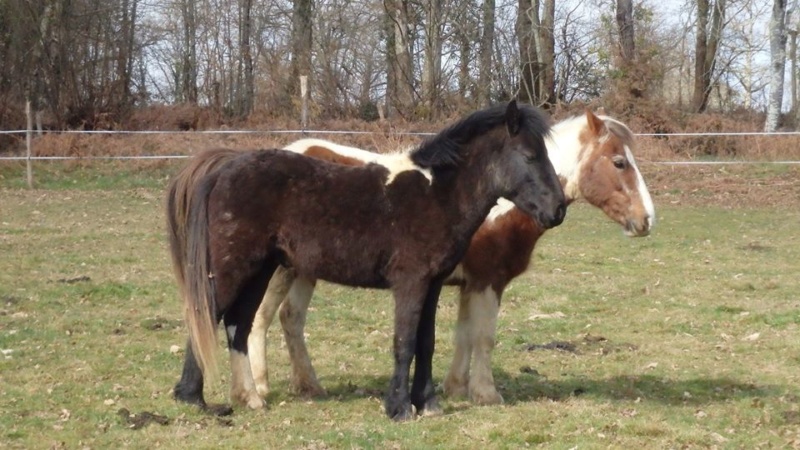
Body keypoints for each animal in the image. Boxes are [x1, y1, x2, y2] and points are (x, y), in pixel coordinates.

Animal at [167, 100, 568, 420]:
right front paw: (400, 408)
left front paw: (428, 404)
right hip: (233, 267)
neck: (436, 195)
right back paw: (191, 397)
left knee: (239, 324)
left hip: (261, 269)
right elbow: (404, 342)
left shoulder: (433, 285)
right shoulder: (410, 283)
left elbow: (426, 342)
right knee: (208, 315)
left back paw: (249, 397)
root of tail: (225, 166)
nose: (557, 210)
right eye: (530, 156)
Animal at [245, 108, 656, 404]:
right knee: (260, 319)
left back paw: (309, 386)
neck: (494, 199)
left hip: (303, 270)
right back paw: (260, 388)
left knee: (291, 319)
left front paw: (456, 387)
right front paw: (486, 394)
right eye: (619, 162)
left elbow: (463, 336)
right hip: (280, 270)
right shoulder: (488, 282)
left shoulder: (464, 284)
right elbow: (484, 337)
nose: (647, 219)